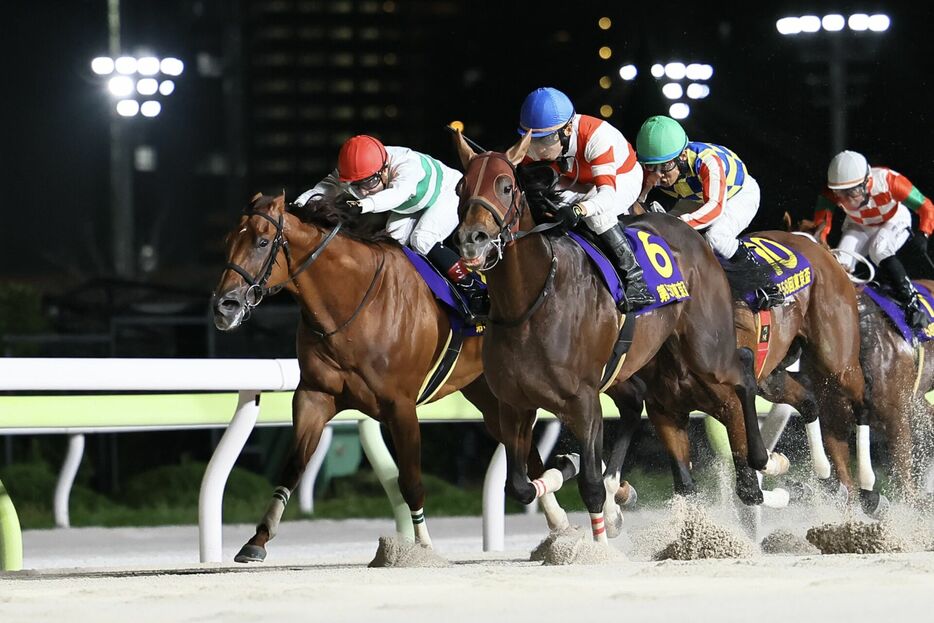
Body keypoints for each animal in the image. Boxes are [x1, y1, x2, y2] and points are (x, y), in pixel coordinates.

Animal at [450, 132, 788, 540]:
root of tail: (694, 236)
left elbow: (591, 486)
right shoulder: (514, 403)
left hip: (706, 347)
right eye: (461, 187)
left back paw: (766, 463)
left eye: (505, 186)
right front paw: (568, 472)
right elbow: (519, 486)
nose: (473, 239)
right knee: (639, 400)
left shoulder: (582, 400)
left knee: (741, 372)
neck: (529, 305)